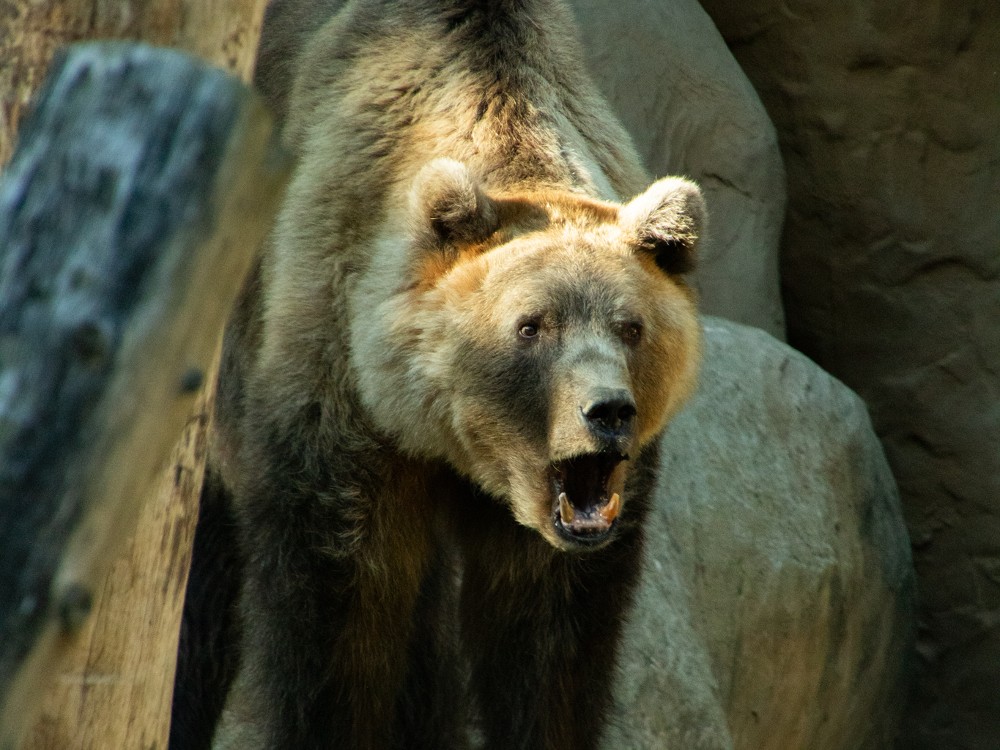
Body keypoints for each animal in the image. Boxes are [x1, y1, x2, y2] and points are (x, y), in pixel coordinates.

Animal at [172, 1, 704, 750]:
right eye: (531, 326)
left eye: (631, 328)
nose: (607, 413)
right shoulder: (337, 400)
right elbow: (339, 621)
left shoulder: (572, 533)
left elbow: (551, 645)